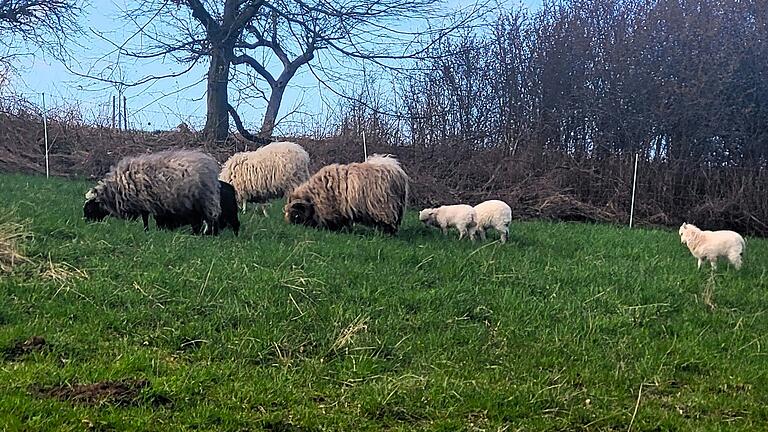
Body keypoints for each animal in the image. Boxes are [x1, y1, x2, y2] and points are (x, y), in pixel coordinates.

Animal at [84, 149, 222, 236]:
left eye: (89, 209)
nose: (85, 223)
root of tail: (210, 164)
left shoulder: (144, 202)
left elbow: (146, 219)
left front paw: (147, 231)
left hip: (202, 198)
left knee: (208, 217)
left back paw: (206, 234)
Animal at [284, 154, 412, 235]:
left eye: (296, 214)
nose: (292, 226)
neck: (314, 197)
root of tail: (398, 171)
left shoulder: (332, 209)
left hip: (386, 207)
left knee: (388, 223)